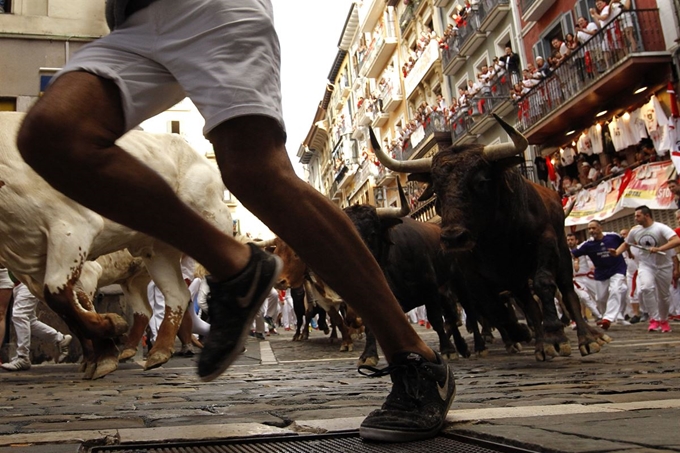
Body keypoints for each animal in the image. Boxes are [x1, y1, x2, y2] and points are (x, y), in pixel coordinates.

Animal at [0, 112, 231, 378]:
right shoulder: (38, 265)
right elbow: (72, 311)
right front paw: (103, 352)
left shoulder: (72, 230)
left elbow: (66, 300)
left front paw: (108, 339)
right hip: (155, 256)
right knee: (172, 297)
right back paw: (157, 351)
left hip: (212, 223)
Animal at [372, 115, 612, 360]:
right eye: (437, 189)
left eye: (481, 182)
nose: (453, 238)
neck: (496, 236)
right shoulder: (472, 273)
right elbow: (493, 307)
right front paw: (523, 334)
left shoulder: (545, 241)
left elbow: (544, 282)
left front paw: (554, 335)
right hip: (514, 276)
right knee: (526, 304)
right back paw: (537, 341)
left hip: (561, 251)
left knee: (567, 290)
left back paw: (587, 337)